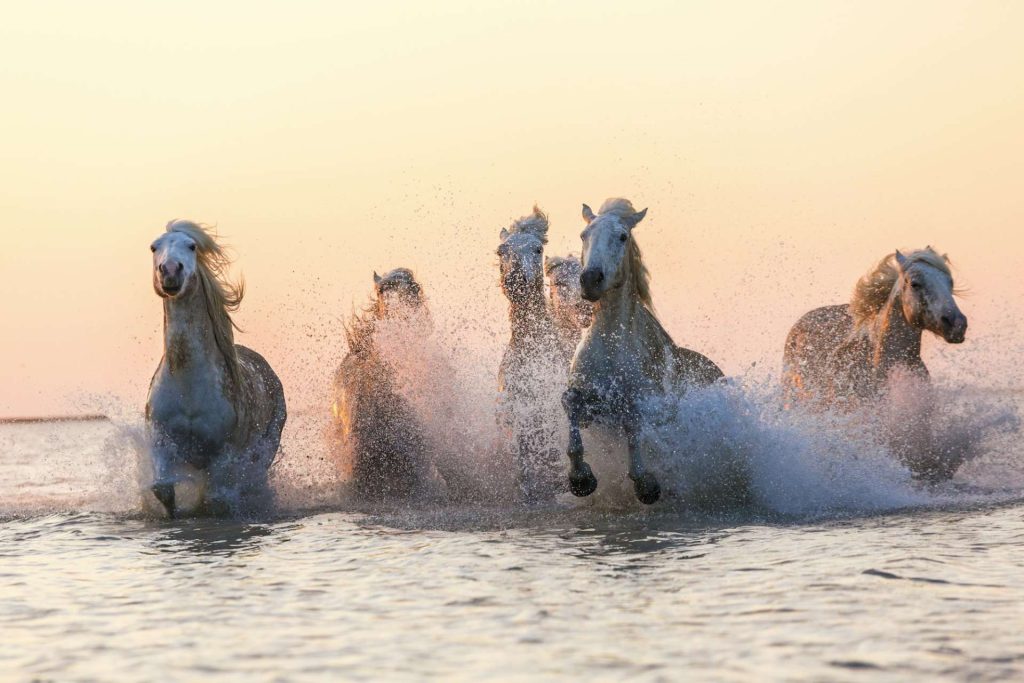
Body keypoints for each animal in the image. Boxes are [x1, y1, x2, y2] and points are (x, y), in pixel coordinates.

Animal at [146, 220, 286, 518]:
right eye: (154, 247)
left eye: (191, 246)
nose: (170, 271)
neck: (187, 382)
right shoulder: (161, 441)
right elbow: (162, 489)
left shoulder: (223, 454)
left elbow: (215, 500)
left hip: (266, 447)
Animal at [565, 200, 724, 505]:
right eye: (583, 235)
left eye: (622, 236)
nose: (590, 279)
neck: (612, 347)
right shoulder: (592, 404)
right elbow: (570, 407)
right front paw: (580, 479)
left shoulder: (648, 407)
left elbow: (634, 425)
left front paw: (646, 484)